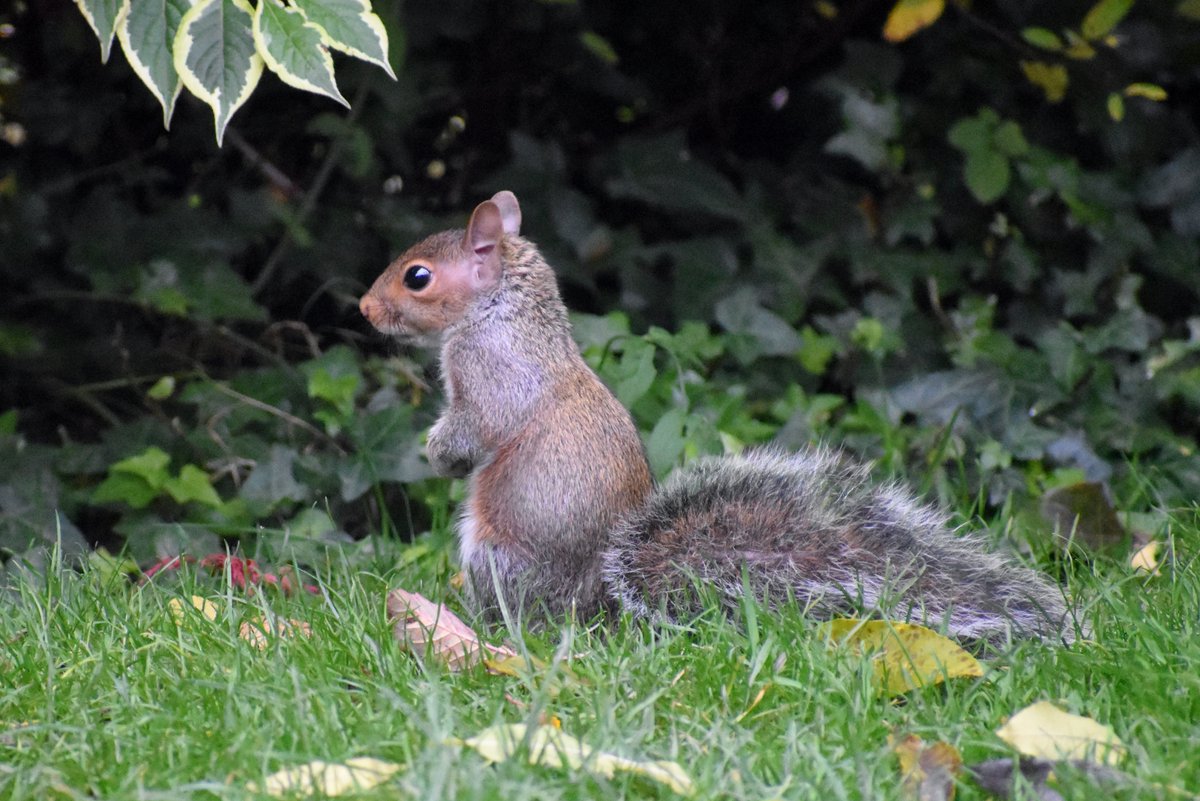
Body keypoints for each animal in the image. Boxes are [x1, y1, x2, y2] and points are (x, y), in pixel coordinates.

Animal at [360, 191, 1077, 647]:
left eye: (418, 276)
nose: (364, 307)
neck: (502, 310)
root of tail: (600, 612)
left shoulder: (491, 373)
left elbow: (476, 427)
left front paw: (438, 454)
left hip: (495, 556)